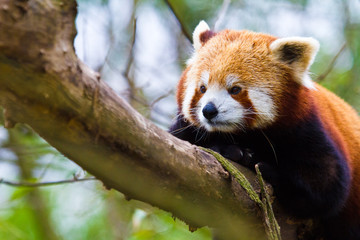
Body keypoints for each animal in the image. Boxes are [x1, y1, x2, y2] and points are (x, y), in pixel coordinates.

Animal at [170, 21, 360, 240]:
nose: (208, 110)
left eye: (235, 89)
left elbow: (327, 186)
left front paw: (265, 167)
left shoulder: (307, 129)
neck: (245, 135)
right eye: (202, 88)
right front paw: (230, 150)